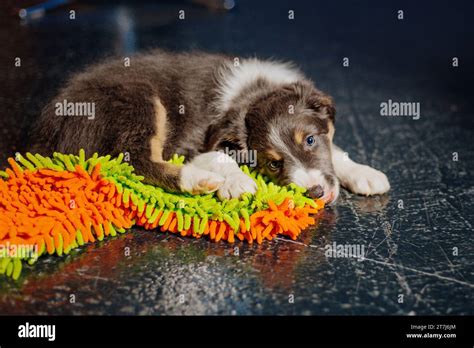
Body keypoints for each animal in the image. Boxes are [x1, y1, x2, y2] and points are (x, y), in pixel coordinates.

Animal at [31, 50, 390, 203]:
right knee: (136, 160)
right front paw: (236, 181)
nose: (315, 193)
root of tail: (49, 123)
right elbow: (218, 155)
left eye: (311, 141)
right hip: (140, 100)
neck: (253, 92)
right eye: (273, 164)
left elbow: (336, 150)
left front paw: (363, 172)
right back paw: (197, 180)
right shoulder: (193, 141)